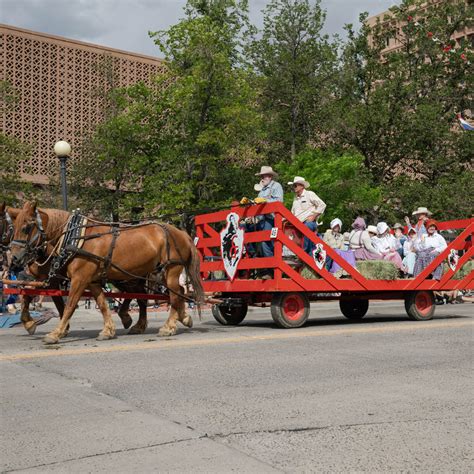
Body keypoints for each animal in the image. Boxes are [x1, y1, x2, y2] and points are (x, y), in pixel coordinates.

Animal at [9, 201, 204, 344]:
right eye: (13, 228)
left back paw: (168, 327)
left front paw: (56, 333)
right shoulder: (91, 280)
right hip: (154, 273)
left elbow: (70, 305)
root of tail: (182, 233)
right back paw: (177, 319)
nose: (15, 258)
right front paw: (108, 330)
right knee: (172, 292)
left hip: (170, 270)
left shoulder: (79, 279)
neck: (75, 238)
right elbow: (102, 303)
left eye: (26, 227)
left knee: (174, 295)